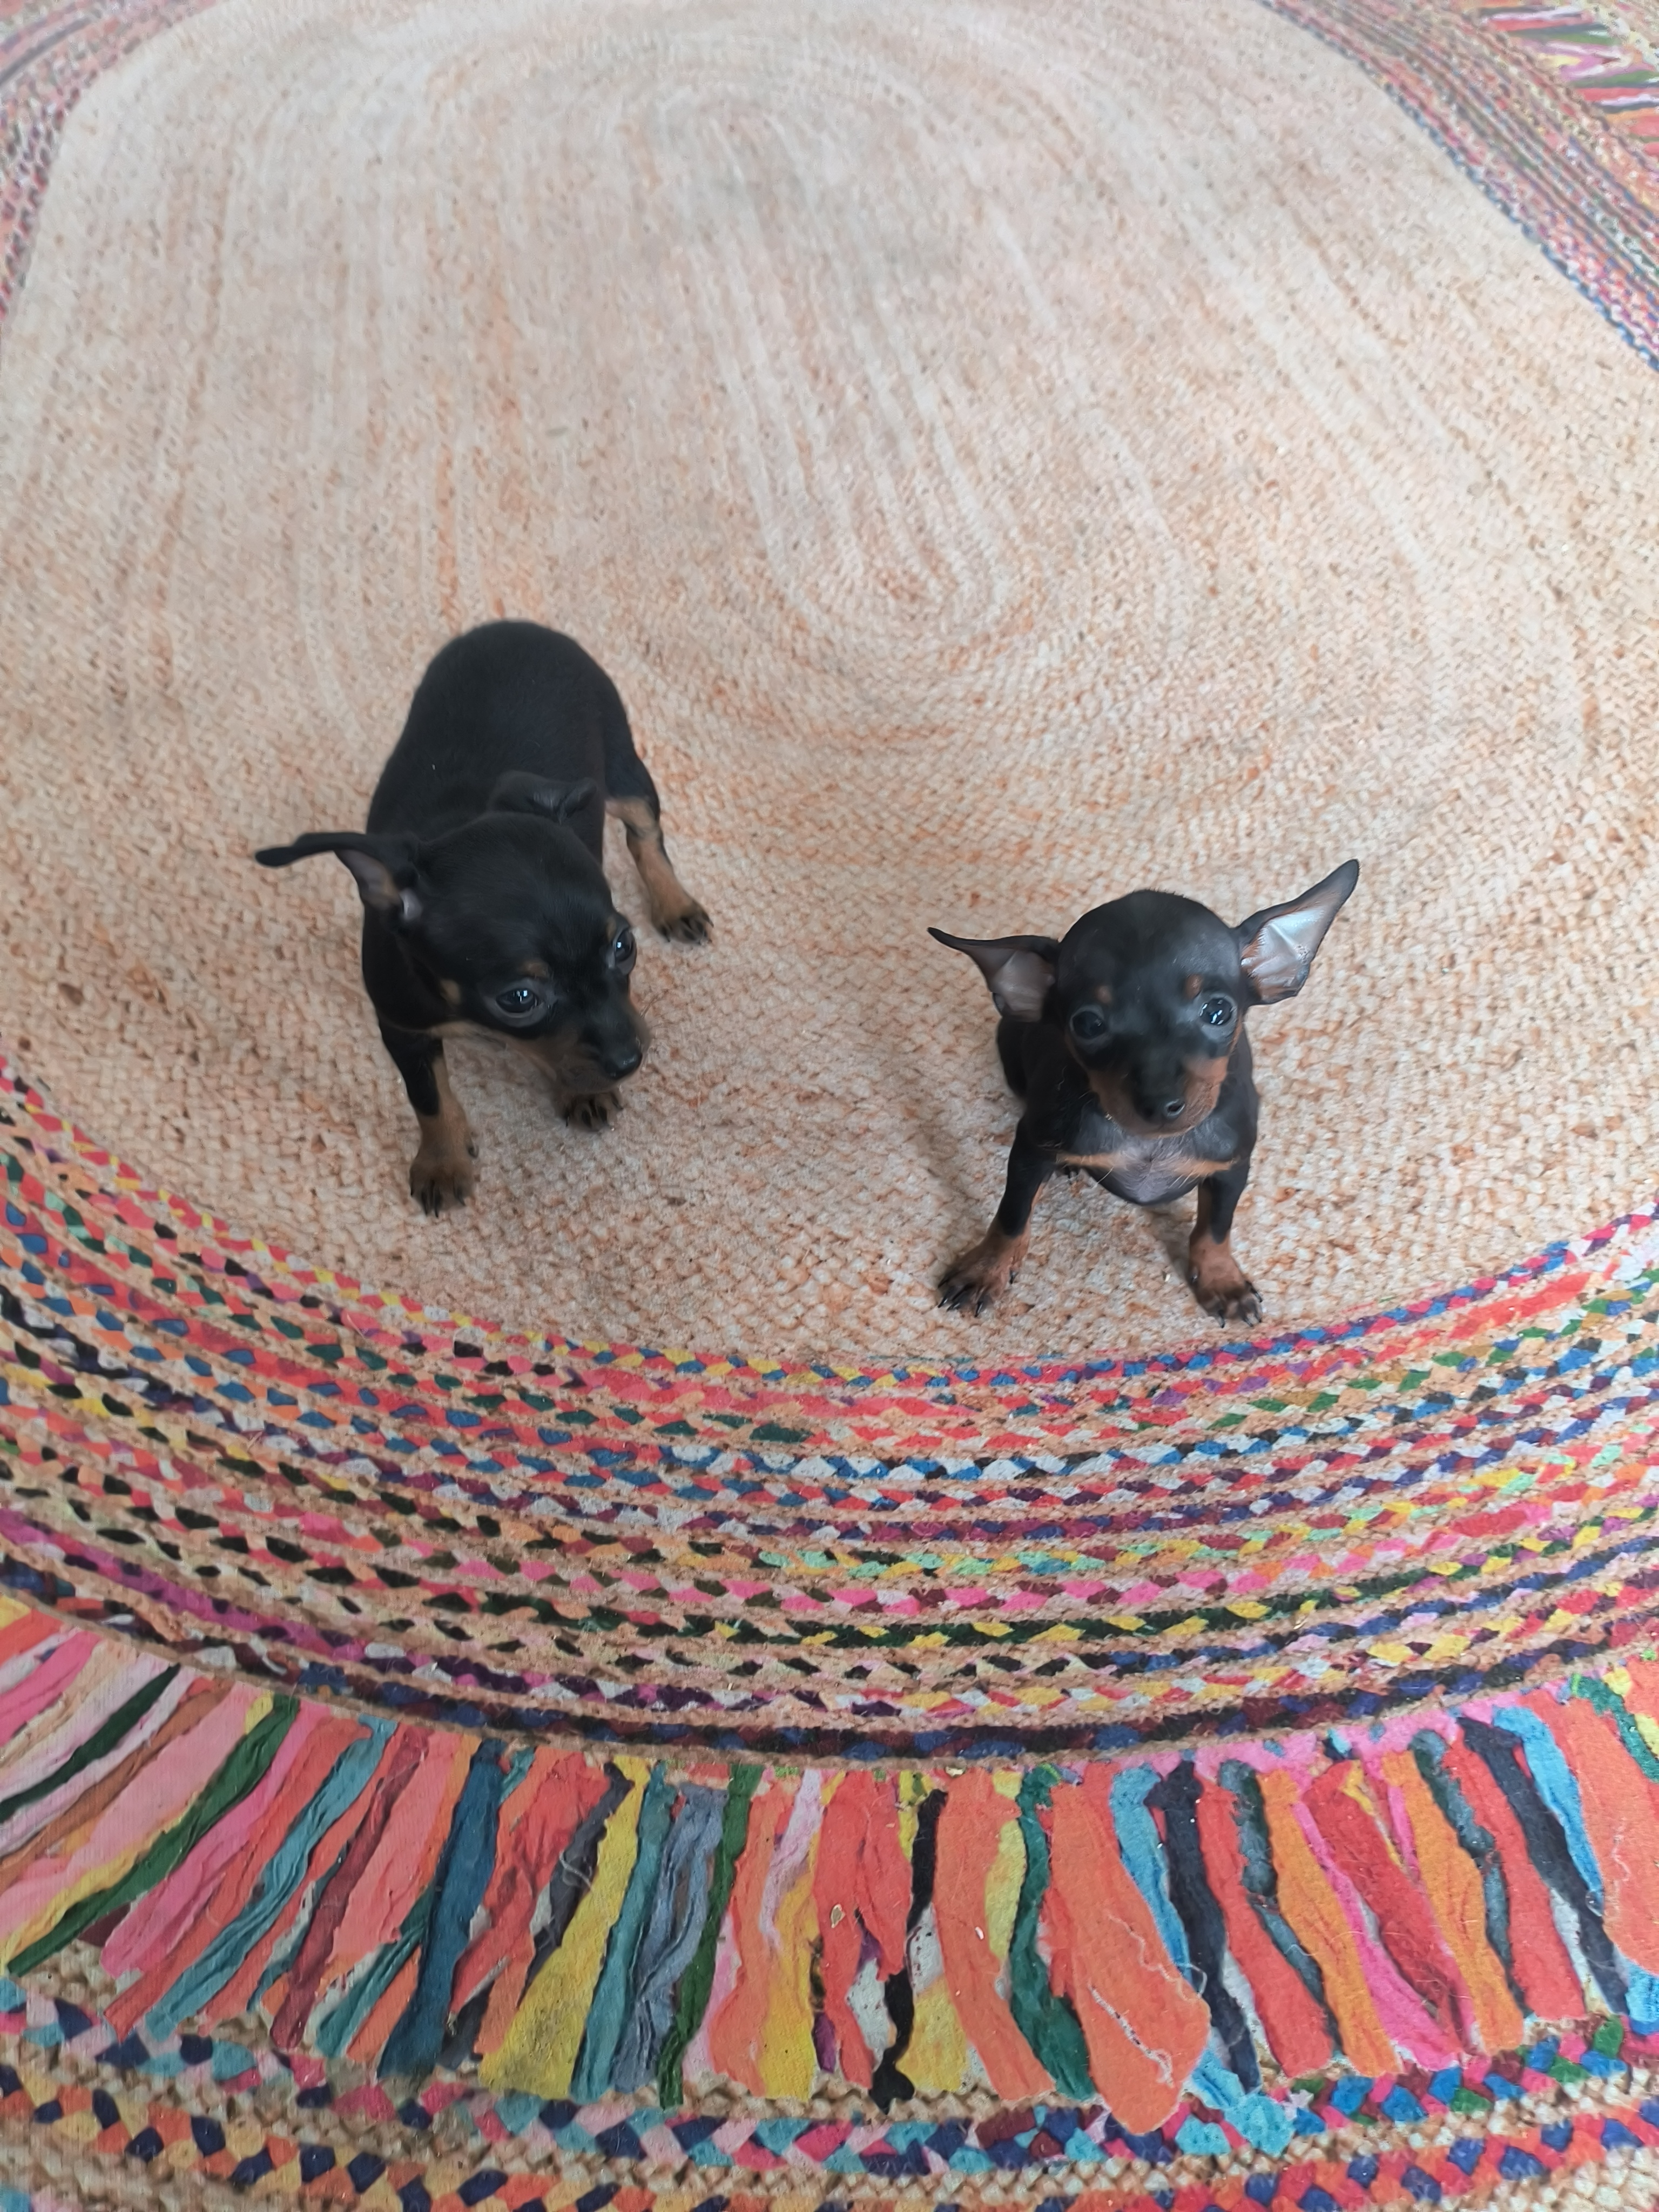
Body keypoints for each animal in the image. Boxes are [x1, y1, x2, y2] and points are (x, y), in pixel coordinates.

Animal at [256, 620, 709, 1215]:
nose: (630, 1060)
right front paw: (443, 1161)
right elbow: (429, 1097)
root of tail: (516, 625)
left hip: (624, 767)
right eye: (518, 998)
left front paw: (582, 1091)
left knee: (645, 834)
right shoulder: (401, 1027)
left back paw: (675, 902)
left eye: (624, 947)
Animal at [930, 860, 1358, 1322]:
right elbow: (1012, 1215)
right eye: (1088, 1024)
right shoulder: (1030, 1148)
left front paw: (1221, 1280)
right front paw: (987, 1268)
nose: (1160, 1104)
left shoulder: (1232, 1167)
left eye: (1218, 1012)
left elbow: (1215, 1228)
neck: (1150, 1145)